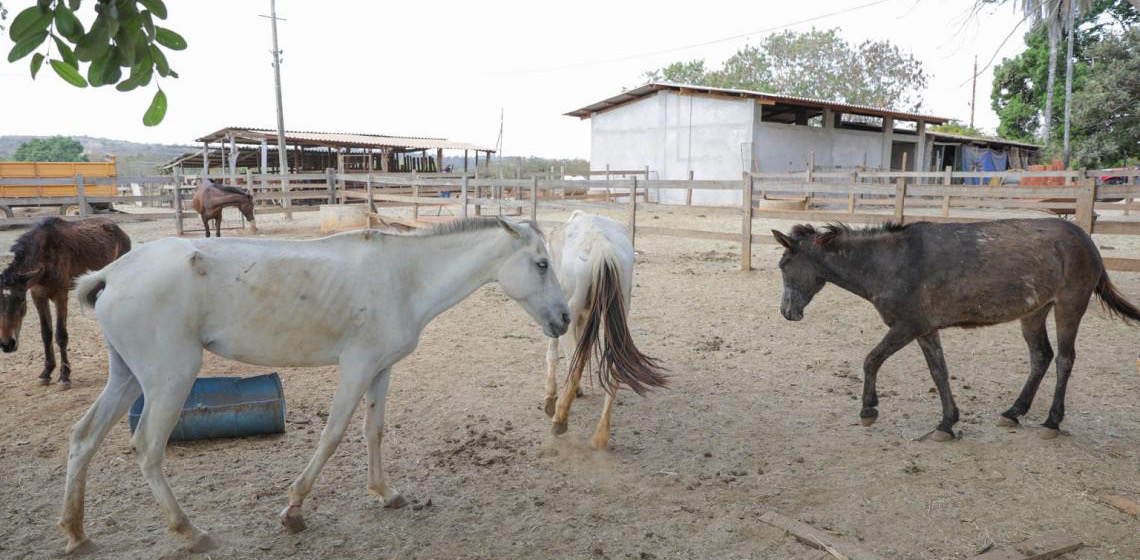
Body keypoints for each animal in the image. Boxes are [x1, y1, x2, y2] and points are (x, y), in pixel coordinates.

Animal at [0, 216, 130, 387]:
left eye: (21, 299)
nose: (7, 344)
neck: (46, 255)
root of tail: (119, 229)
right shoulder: (38, 296)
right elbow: (46, 334)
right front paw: (46, 372)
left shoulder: (60, 295)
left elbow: (61, 335)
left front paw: (64, 376)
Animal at [57, 216, 570, 554]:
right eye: (542, 264)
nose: (565, 319)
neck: (403, 278)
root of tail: (112, 273)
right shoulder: (357, 368)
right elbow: (333, 434)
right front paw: (294, 511)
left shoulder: (380, 370)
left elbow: (373, 431)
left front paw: (386, 494)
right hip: (170, 378)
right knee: (147, 447)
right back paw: (189, 531)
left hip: (127, 377)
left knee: (83, 438)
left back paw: (76, 533)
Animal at [544, 209, 665, 451]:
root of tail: (602, 248)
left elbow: (555, 354)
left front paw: (551, 398)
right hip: (617, 317)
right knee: (614, 366)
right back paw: (600, 436)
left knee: (577, 362)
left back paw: (560, 420)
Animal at [770, 218, 1135, 442]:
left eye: (784, 265)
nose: (787, 313)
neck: (891, 262)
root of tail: (1085, 239)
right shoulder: (924, 328)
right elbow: (939, 372)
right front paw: (947, 423)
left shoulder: (907, 326)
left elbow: (871, 360)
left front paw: (868, 410)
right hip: (1034, 312)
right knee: (1040, 357)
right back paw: (1013, 413)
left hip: (1069, 306)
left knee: (1064, 359)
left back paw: (1052, 422)